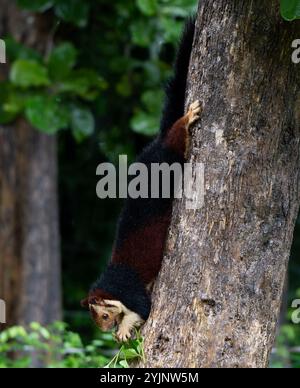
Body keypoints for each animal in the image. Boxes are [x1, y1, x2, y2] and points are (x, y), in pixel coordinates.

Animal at [81, 16, 202, 342]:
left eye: (104, 315)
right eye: (96, 319)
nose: (106, 330)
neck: (111, 282)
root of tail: (155, 146)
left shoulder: (131, 292)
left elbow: (142, 310)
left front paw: (123, 331)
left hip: (168, 159)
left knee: (175, 138)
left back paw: (188, 118)